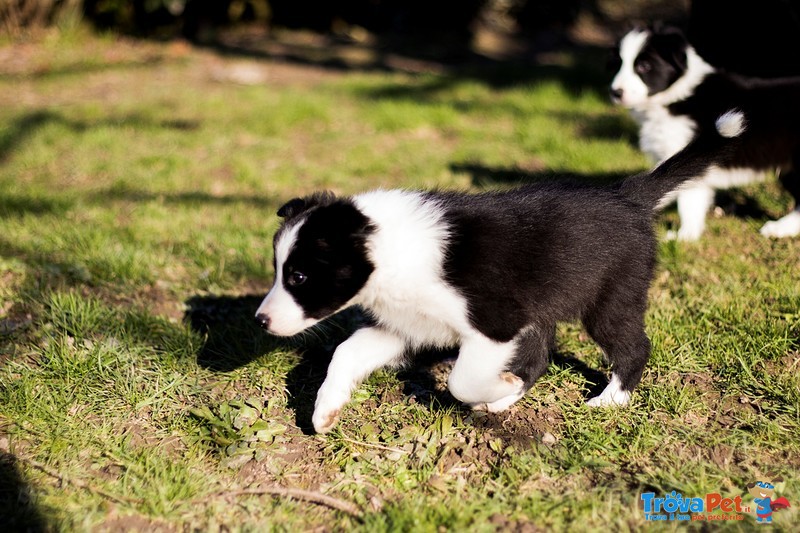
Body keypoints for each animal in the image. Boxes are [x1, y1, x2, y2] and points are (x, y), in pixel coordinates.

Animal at [255, 111, 744, 432]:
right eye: (279, 271)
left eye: (298, 276)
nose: (260, 321)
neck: (391, 252)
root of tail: (628, 195)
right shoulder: (405, 325)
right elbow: (346, 352)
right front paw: (325, 410)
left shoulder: (494, 324)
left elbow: (460, 381)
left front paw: (493, 385)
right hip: (545, 310)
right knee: (541, 356)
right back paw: (510, 398)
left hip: (611, 296)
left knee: (633, 345)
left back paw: (610, 400)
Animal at [608, 25, 800, 240]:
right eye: (618, 65)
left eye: (644, 66)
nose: (615, 92)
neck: (676, 96)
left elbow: (686, 197)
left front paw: (683, 237)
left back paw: (780, 228)